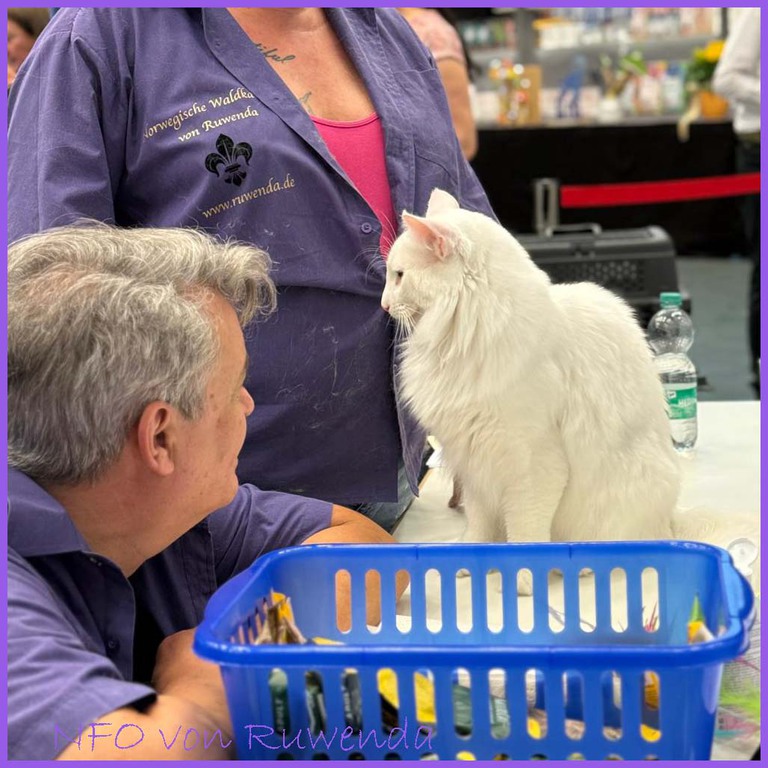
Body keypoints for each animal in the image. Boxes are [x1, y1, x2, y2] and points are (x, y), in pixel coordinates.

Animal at [382, 189, 682, 591]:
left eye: (399, 276)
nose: (383, 304)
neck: (465, 335)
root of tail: (670, 523)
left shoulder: (532, 466)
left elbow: (526, 533)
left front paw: (523, 581)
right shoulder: (475, 465)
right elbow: (479, 527)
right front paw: (468, 564)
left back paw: (583, 566)